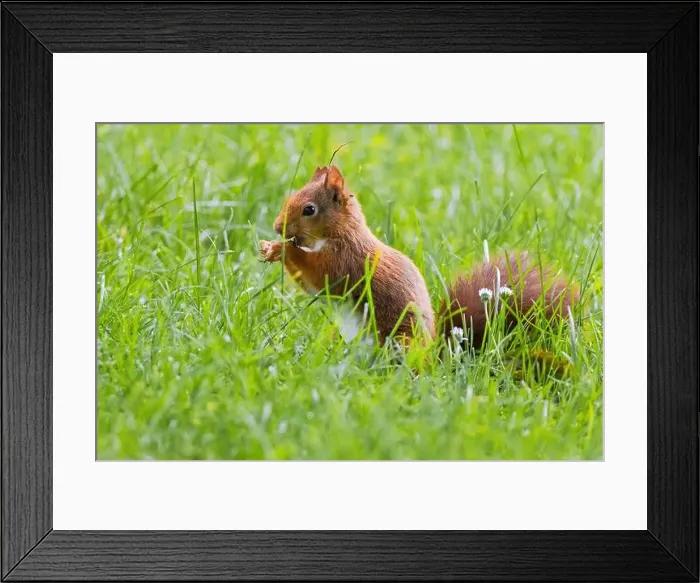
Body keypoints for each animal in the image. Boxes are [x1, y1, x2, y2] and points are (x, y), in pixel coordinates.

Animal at [259, 165, 579, 349]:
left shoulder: (345, 261)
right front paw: (270, 248)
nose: (277, 227)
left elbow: (319, 276)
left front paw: (283, 249)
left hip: (401, 339)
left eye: (309, 210)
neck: (342, 233)